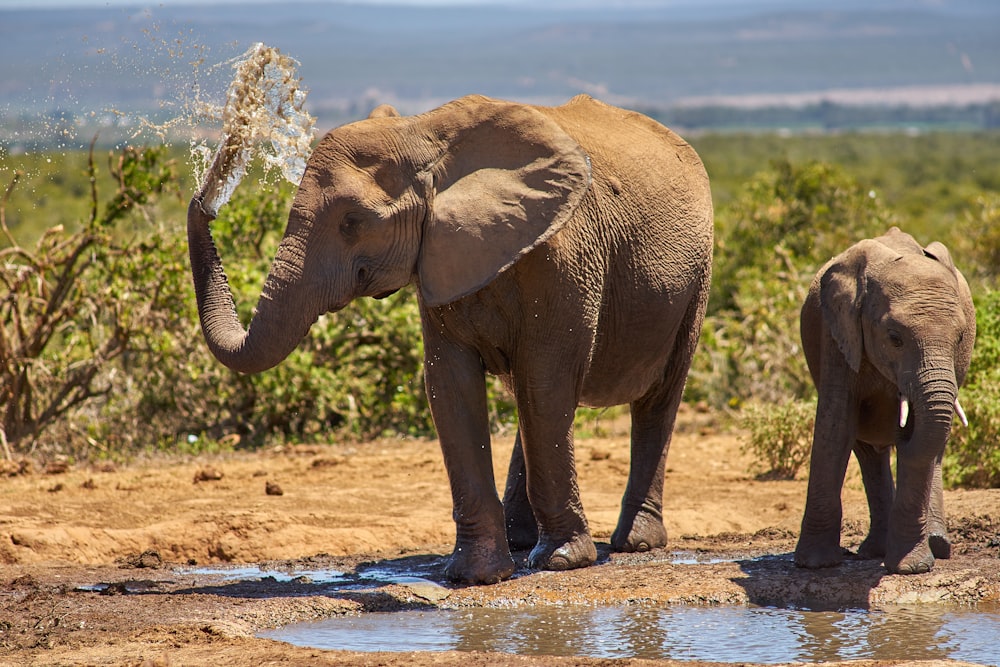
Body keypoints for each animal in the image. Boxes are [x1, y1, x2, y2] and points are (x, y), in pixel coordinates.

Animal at [188, 94, 716, 584]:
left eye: (352, 221)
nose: (206, 199)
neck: (424, 134)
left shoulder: (565, 257)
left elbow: (546, 382)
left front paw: (563, 562)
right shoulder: (438, 255)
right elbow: (451, 386)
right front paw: (475, 576)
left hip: (696, 277)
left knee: (653, 397)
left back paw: (635, 543)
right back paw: (521, 540)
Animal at [796, 228, 976, 576]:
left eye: (960, 338)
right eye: (895, 338)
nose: (899, 428)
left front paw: (911, 568)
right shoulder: (837, 332)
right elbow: (836, 426)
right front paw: (814, 565)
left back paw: (936, 545)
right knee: (868, 452)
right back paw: (874, 551)